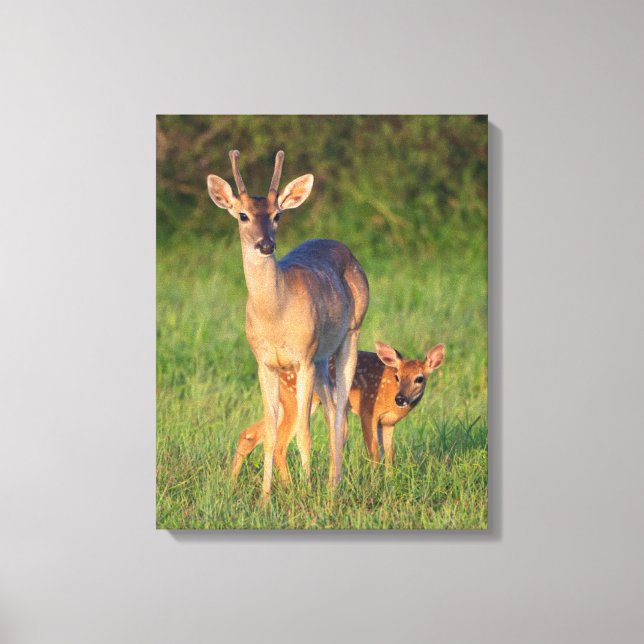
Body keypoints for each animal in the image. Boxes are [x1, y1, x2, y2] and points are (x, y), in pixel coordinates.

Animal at [207, 150, 369, 500]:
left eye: (278, 215)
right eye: (242, 215)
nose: (266, 245)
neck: (275, 317)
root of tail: (345, 248)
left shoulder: (302, 357)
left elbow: (305, 434)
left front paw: (306, 494)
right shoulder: (264, 363)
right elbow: (270, 432)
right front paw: (266, 498)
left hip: (350, 333)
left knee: (338, 413)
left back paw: (334, 486)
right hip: (321, 358)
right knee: (332, 409)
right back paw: (332, 482)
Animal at [231, 341, 445, 479]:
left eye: (419, 378)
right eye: (397, 376)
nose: (400, 399)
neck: (389, 395)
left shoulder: (388, 423)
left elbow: (389, 454)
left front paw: (390, 480)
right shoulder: (368, 410)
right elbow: (374, 452)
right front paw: (376, 482)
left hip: (287, 402)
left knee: (250, 433)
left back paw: (231, 483)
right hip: (296, 400)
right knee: (279, 444)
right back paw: (289, 486)